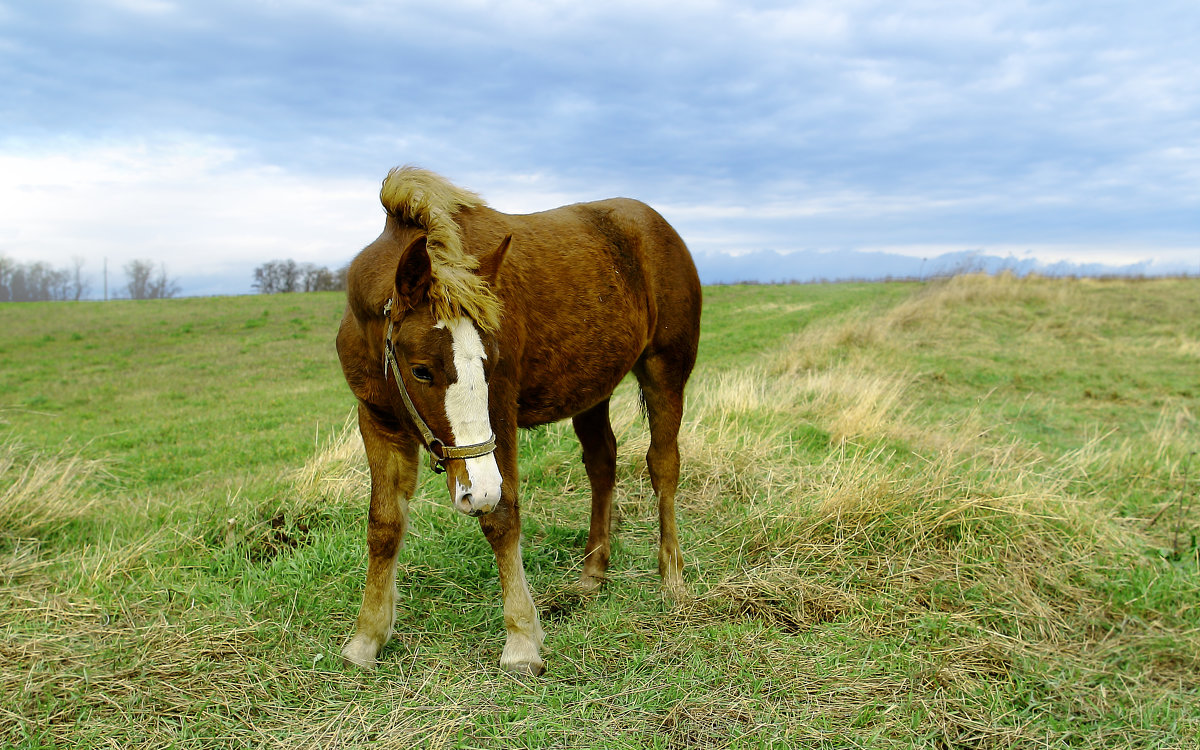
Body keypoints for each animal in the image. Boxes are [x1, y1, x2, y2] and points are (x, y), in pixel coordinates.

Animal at [333, 166, 700, 676]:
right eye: (421, 370)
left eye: (491, 361)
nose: (476, 491)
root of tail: (659, 227)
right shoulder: (377, 420)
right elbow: (384, 525)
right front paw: (366, 638)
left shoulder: (500, 414)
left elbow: (502, 517)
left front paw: (522, 640)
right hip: (592, 390)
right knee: (602, 463)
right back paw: (593, 573)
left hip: (664, 371)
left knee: (663, 465)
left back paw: (672, 579)